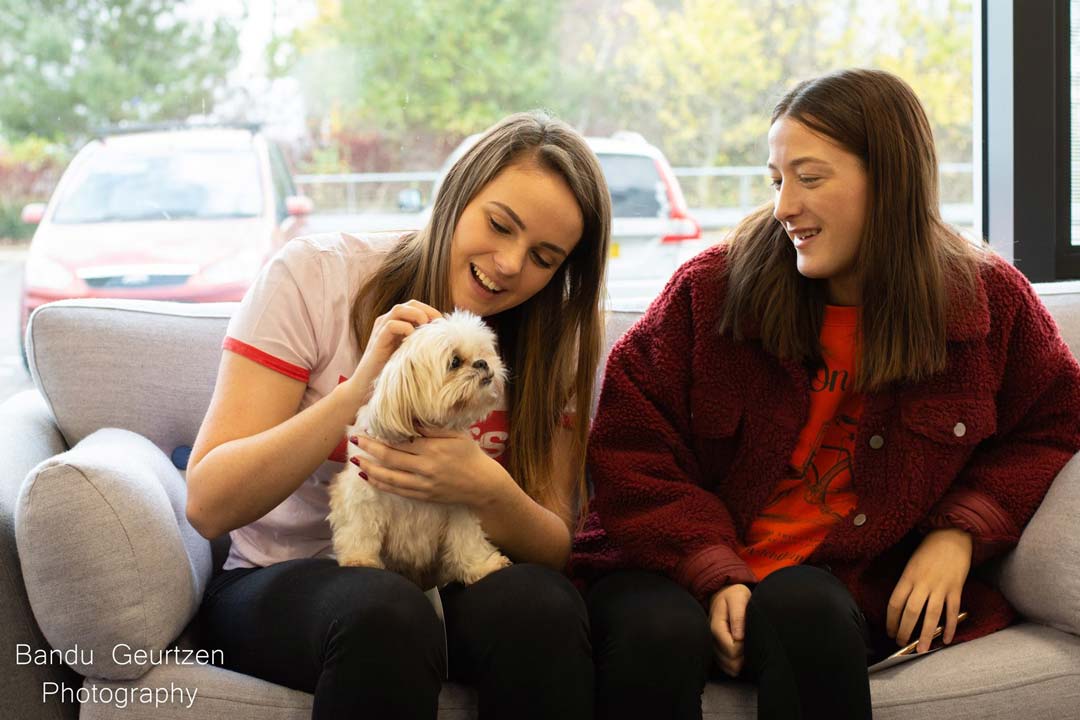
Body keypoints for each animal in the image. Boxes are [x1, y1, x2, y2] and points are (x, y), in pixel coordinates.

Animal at [326, 313, 511, 587]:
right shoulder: (363, 493)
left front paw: (481, 566)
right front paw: (360, 559)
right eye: (454, 362)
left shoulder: (460, 500)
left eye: (483, 352)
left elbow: (466, 539)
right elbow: (361, 528)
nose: (482, 363)